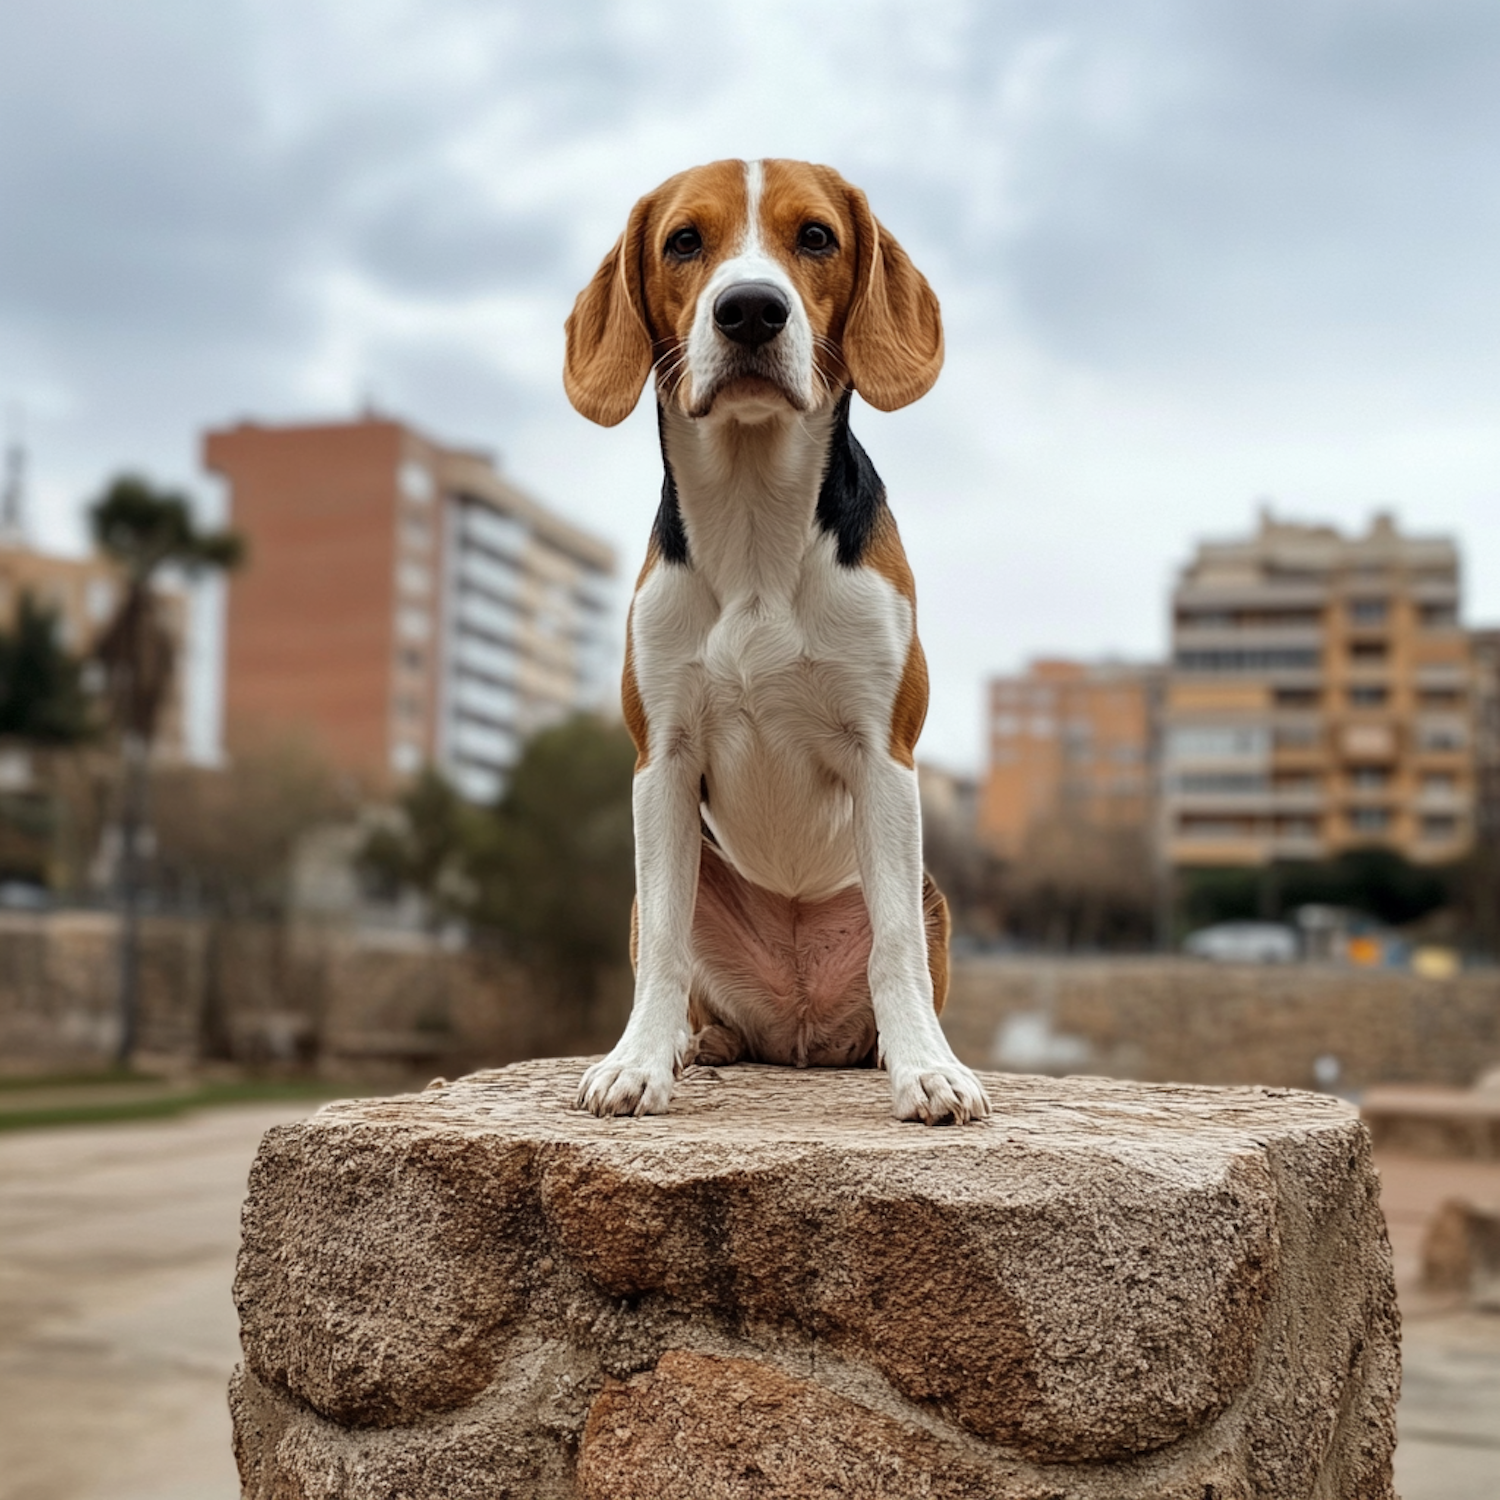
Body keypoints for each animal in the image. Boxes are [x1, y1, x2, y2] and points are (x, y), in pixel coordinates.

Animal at [558, 161, 990, 1128]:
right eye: (684, 241)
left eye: (817, 237)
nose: (750, 310)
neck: (756, 523)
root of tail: (797, 1032)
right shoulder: (663, 759)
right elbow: (665, 944)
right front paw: (638, 1062)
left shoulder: (885, 756)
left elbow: (895, 947)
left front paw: (929, 1072)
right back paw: (694, 1042)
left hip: (930, 892)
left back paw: (888, 1049)